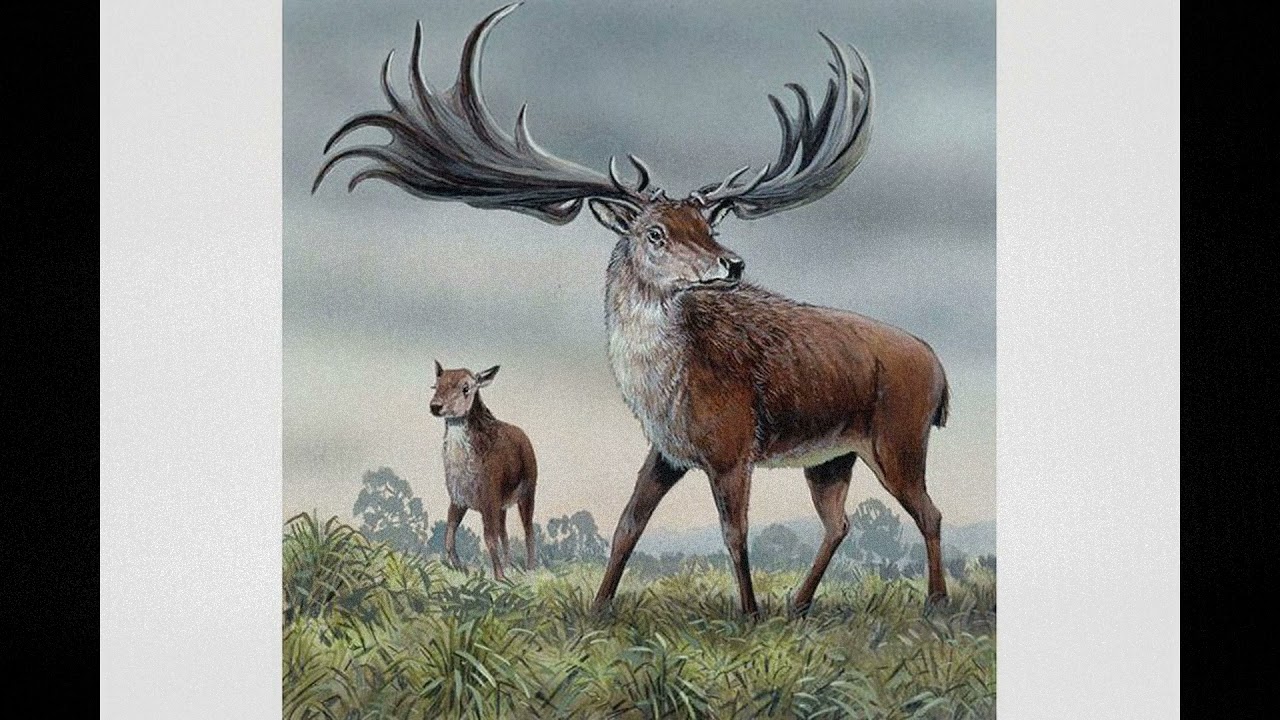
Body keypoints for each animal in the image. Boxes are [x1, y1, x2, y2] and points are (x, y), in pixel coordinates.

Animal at [428, 361, 537, 580]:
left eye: (466, 388)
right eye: (436, 385)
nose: (435, 406)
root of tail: (525, 436)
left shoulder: (489, 496)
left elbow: (489, 537)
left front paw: (499, 577)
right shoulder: (458, 499)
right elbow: (449, 535)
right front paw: (460, 568)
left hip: (528, 490)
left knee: (528, 528)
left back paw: (530, 569)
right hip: (503, 503)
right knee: (504, 531)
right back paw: (510, 565)